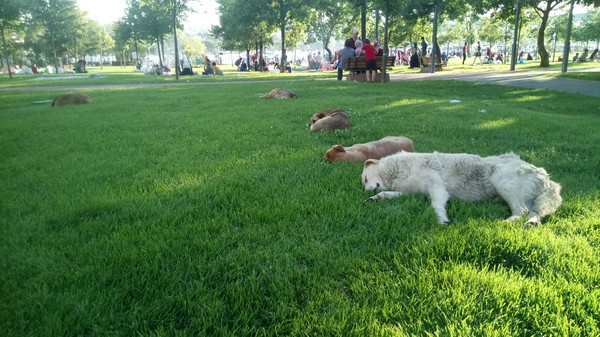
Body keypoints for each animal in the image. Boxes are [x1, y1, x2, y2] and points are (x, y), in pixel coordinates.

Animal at [360, 152, 564, 226]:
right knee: (535, 212)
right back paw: (532, 223)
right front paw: (375, 198)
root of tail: (548, 179)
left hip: (502, 182)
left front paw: (442, 220)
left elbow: (436, 206)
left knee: (522, 210)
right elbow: (386, 193)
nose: (367, 191)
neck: (400, 168)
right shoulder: (410, 192)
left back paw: (506, 222)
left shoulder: (437, 188)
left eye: (365, 179)